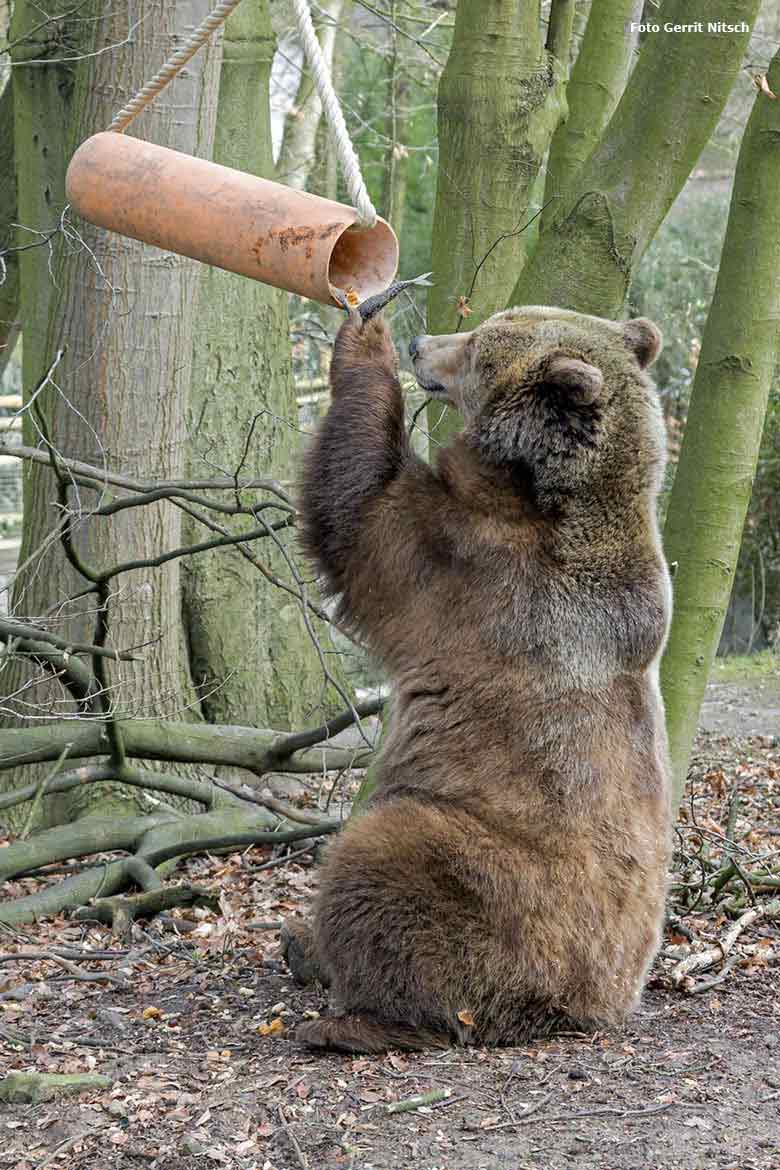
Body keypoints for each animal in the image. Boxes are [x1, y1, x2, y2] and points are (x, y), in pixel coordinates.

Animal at [290, 301, 673, 1053]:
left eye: (477, 344)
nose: (419, 341)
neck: (539, 490)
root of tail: (589, 1007)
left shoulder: (474, 568)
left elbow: (361, 514)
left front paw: (364, 339)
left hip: (496, 878)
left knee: (384, 864)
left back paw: (354, 1016)